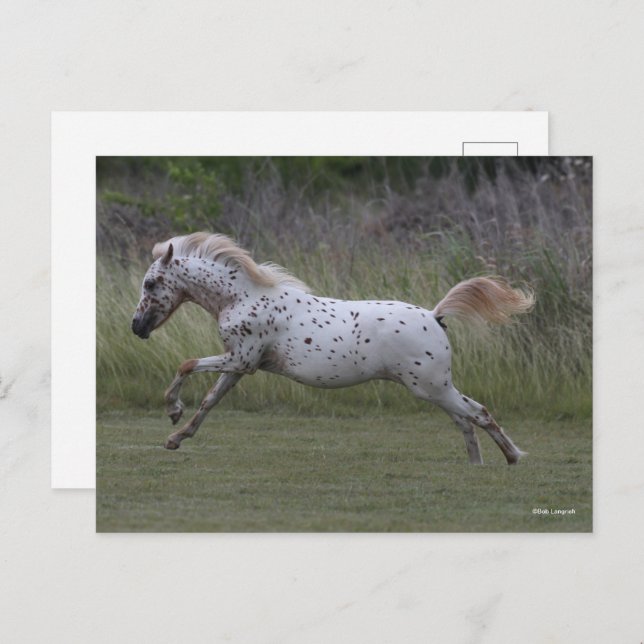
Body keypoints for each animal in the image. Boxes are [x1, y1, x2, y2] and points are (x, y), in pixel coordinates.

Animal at [131, 232, 534, 464]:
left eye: (151, 284)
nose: (137, 327)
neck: (242, 297)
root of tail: (435, 316)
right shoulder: (240, 365)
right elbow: (209, 402)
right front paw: (176, 438)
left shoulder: (240, 359)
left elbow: (187, 364)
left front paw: (172, 412)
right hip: (437, 389)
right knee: (466, 418)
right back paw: (480, 464)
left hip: (431, 387)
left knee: (477, 413)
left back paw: (513, 457)